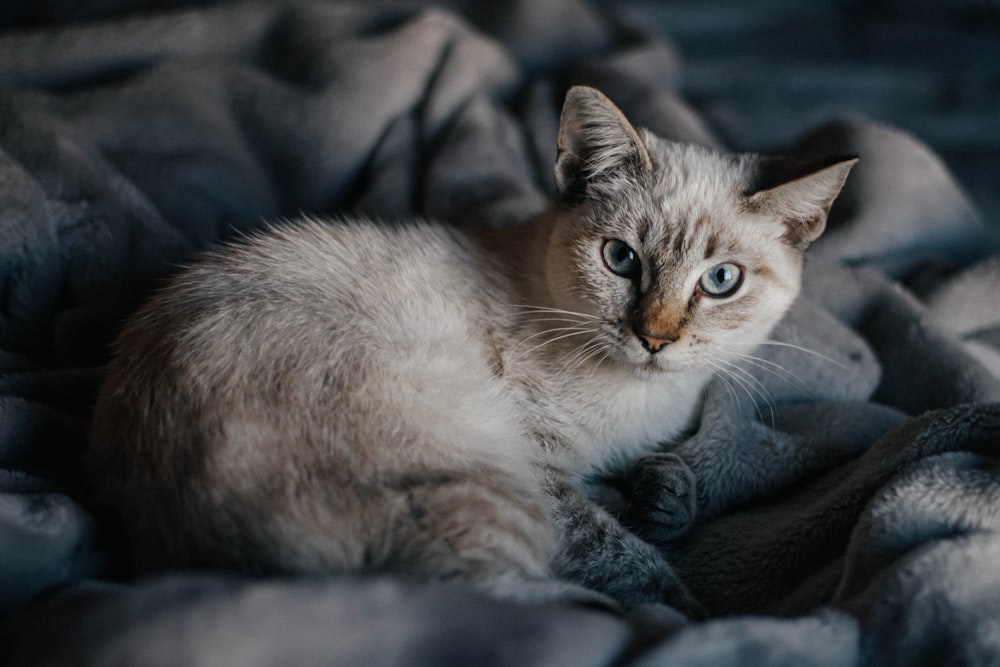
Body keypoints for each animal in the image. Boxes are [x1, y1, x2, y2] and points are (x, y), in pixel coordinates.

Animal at [86, 86, 856, 612]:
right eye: (621, 260)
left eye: (721, 281)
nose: (655, 337)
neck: (644, 400)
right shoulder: (543, 475)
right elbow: (619, 552)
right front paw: (689, 603)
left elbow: (677, 473)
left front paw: (663, 494)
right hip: (489, 481)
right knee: (482, 601)